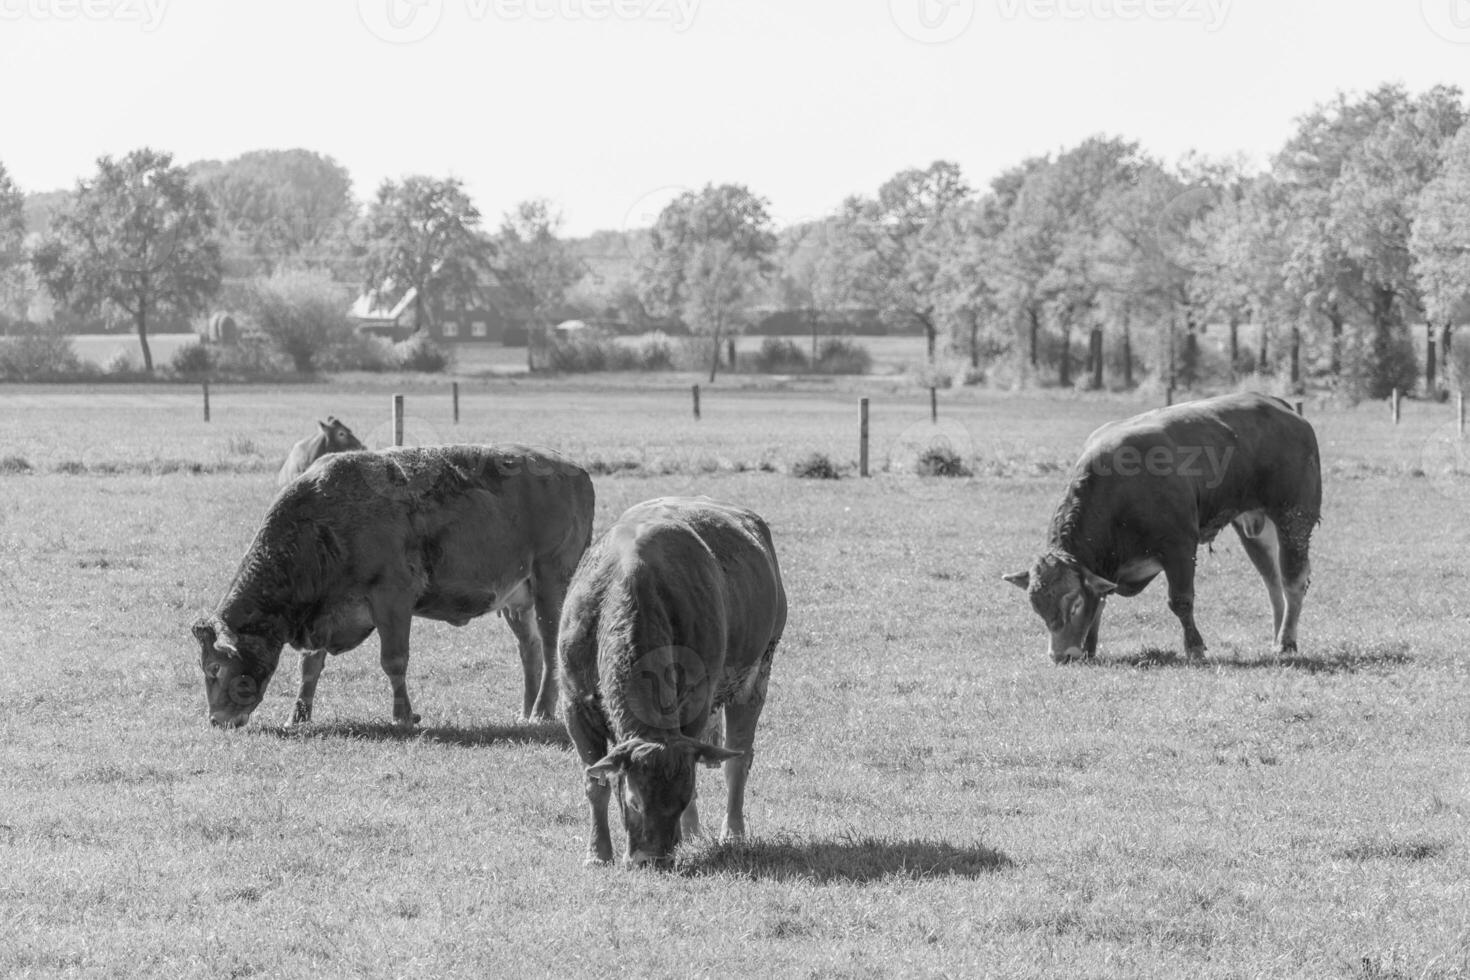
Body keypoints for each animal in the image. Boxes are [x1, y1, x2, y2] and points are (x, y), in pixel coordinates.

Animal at [558, 502, 787, 869]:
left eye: (678, 800)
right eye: (634, 801)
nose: (651, 859)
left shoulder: (696, 703)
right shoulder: (574, 705)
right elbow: (596, 782)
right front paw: (598, 853)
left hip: (756, 677)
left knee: (738, 760)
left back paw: (731, 832)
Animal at [999, 393, 1323, 664]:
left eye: (1074, 603)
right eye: (1037, 607)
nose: (1060, 655)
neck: (1120, 486)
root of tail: (1278, 405)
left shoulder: (1179, 548)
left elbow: (1180, 601)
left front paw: (1194, 647)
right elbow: (1101, 600)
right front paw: (1090, 646)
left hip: (1294, 518)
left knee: (1292, 581)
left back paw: (1286, 641)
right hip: (1253, 527)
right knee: (1272, 583)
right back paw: (1276, 636)